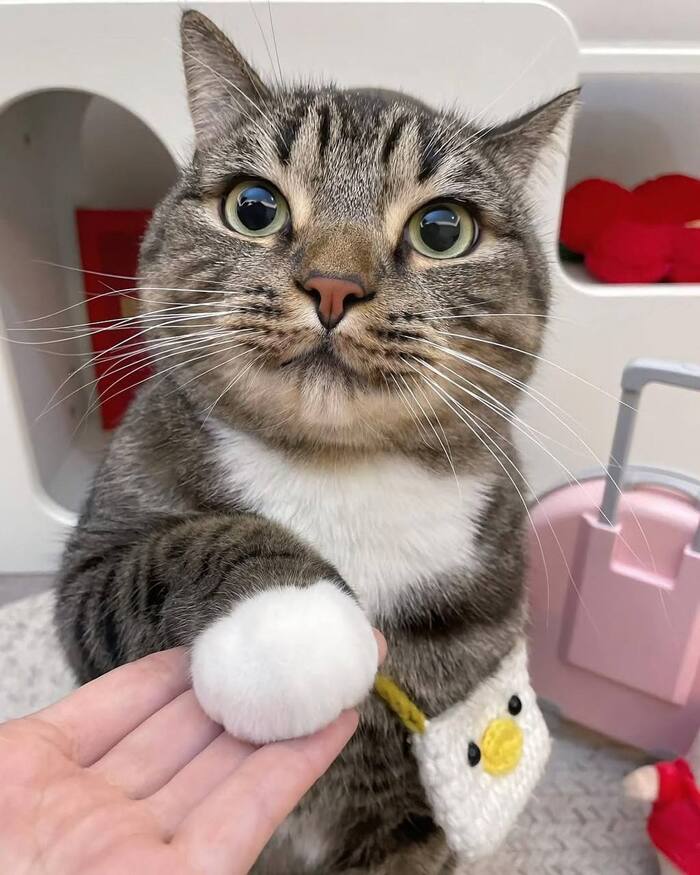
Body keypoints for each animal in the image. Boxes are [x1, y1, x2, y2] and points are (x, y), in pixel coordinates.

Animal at [55, 10, 576, 873]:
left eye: (443, 228)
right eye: (254, 206)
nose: (334, 284)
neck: (337, 472)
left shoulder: (416, 807)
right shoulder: (88, 576)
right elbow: (172, 551)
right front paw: (297, 627)